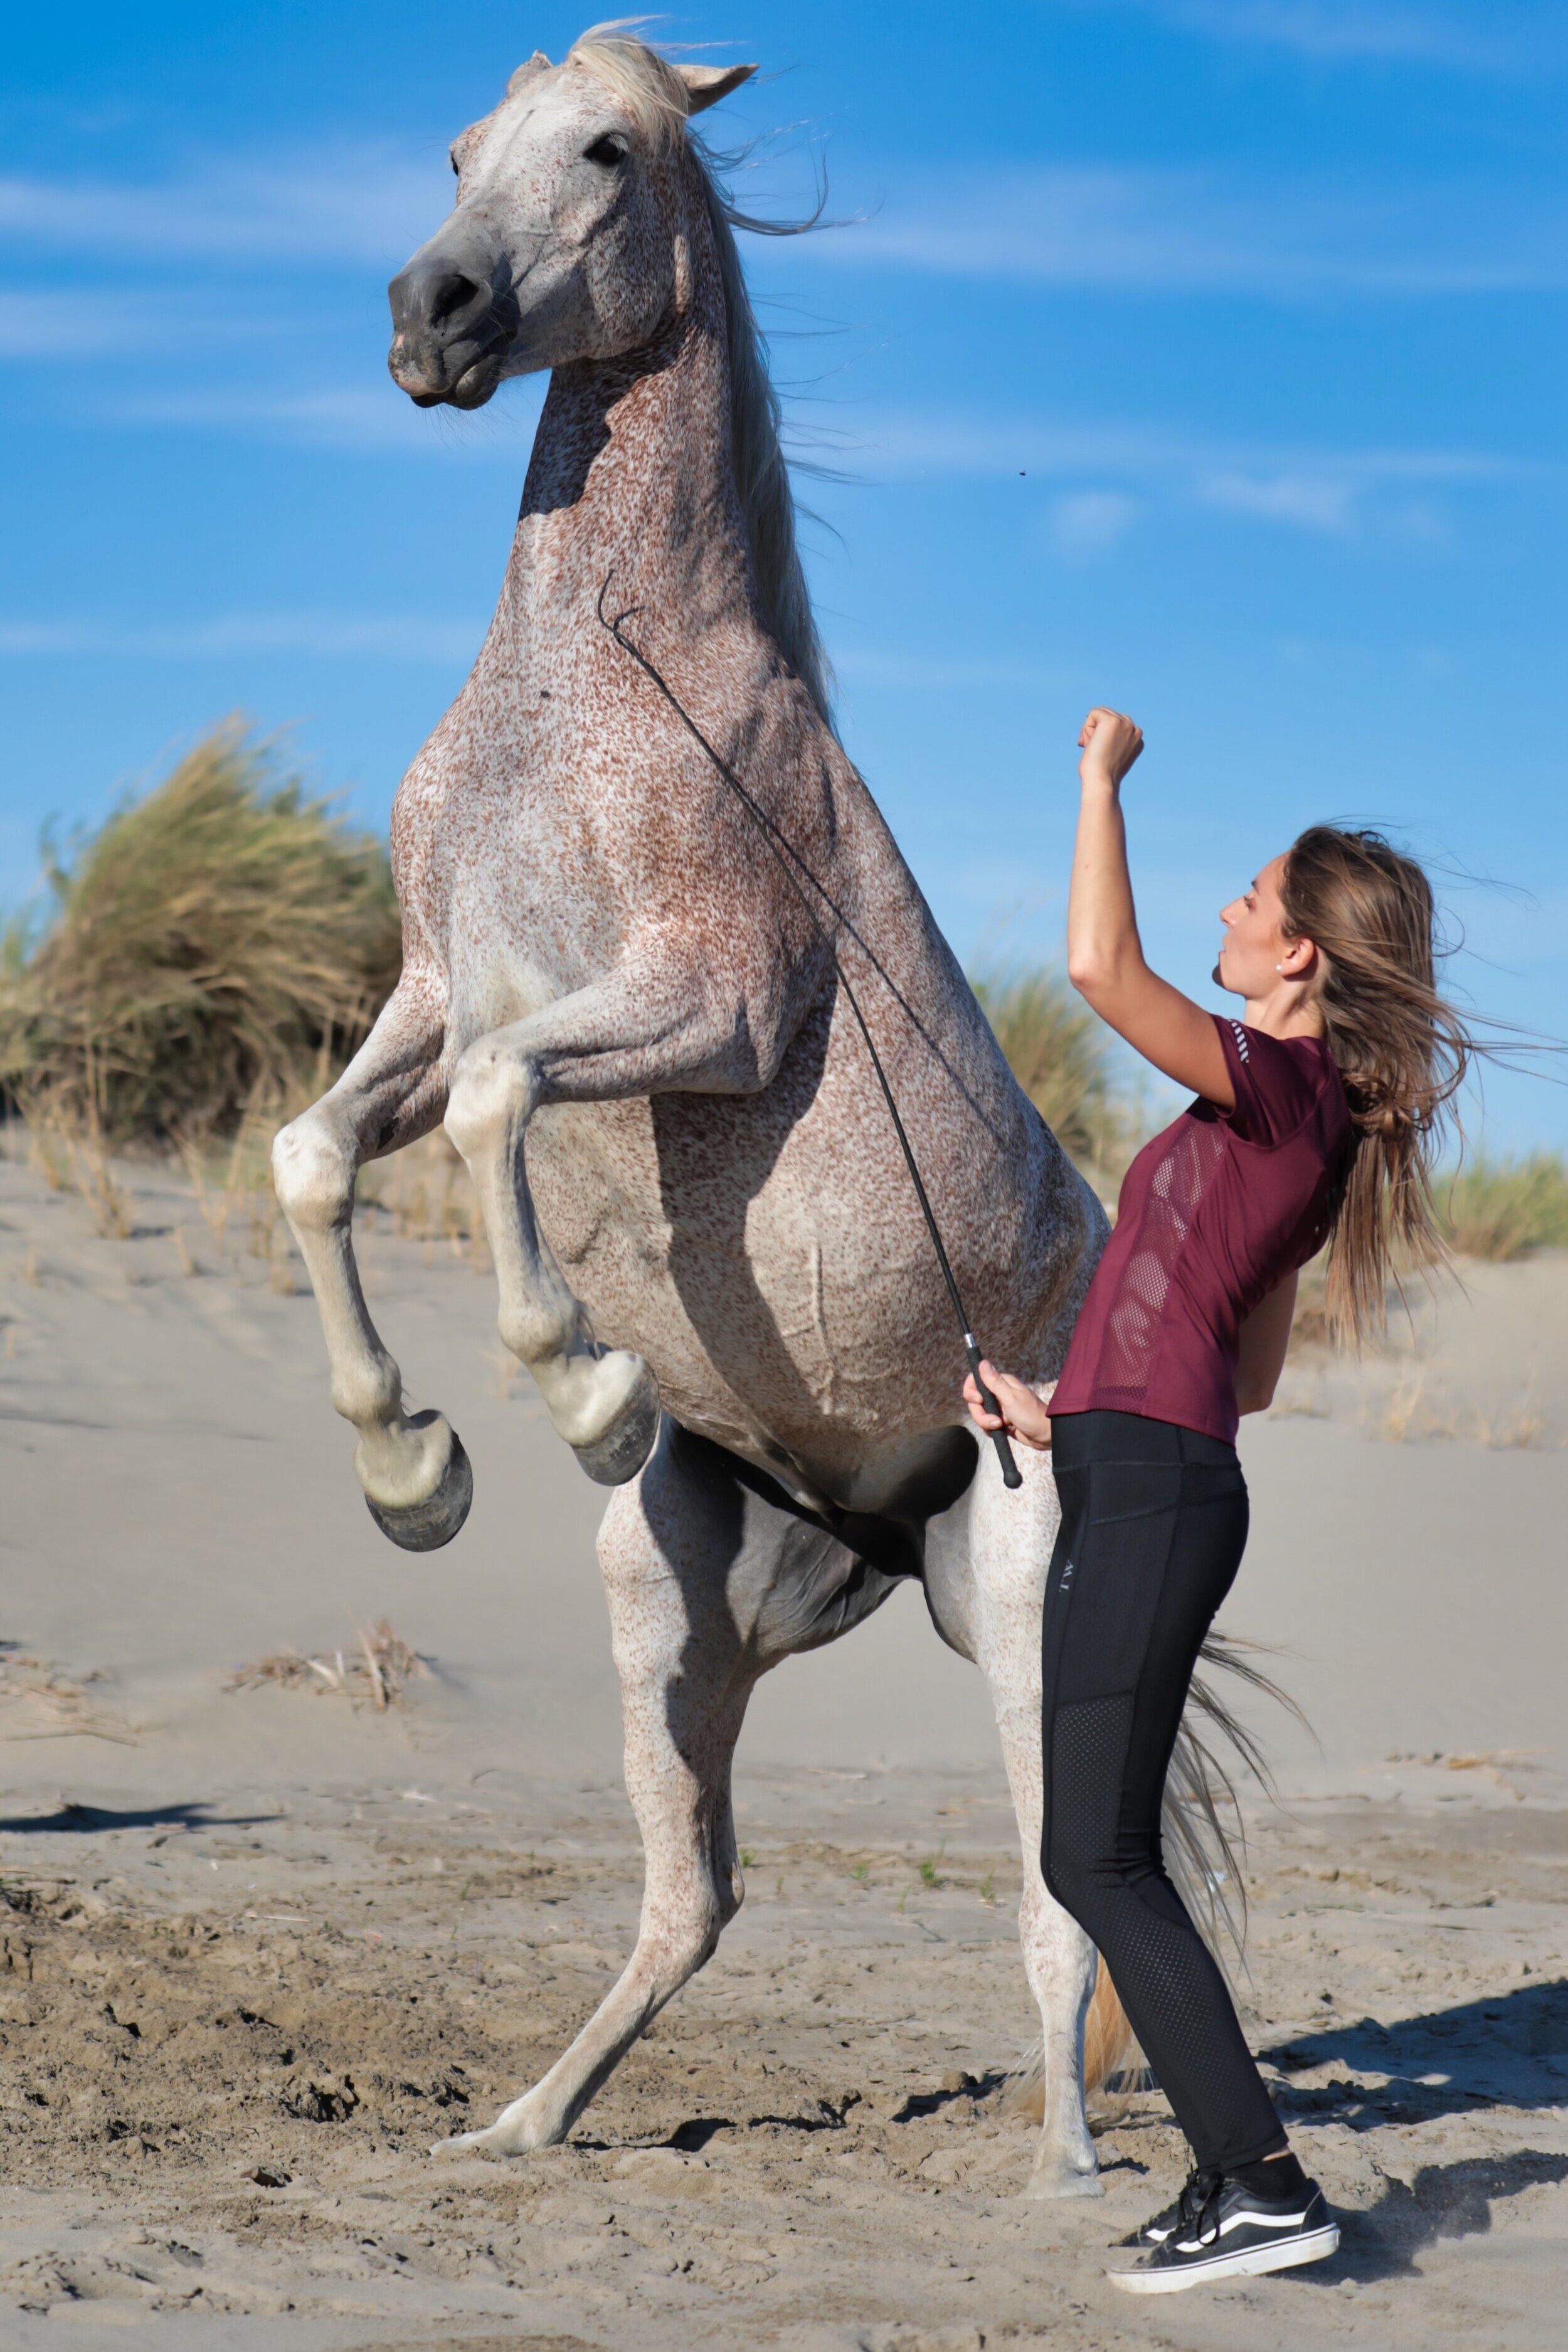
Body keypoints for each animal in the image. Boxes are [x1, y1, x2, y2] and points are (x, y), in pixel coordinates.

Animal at [274, 26, 1156, 2198]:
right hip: (671, 1611)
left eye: (606, 147)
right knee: (695, 1896)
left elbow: (498, 1105)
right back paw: (516, 2122)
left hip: (1026, 1614)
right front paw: (411, 1466)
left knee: (1056, 1899)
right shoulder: (429, 989)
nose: (430, 315)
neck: (594, 680)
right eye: (454, 150)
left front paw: (575, 1379)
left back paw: (1068, 2169)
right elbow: (319, 1149)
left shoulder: (709, 1012)